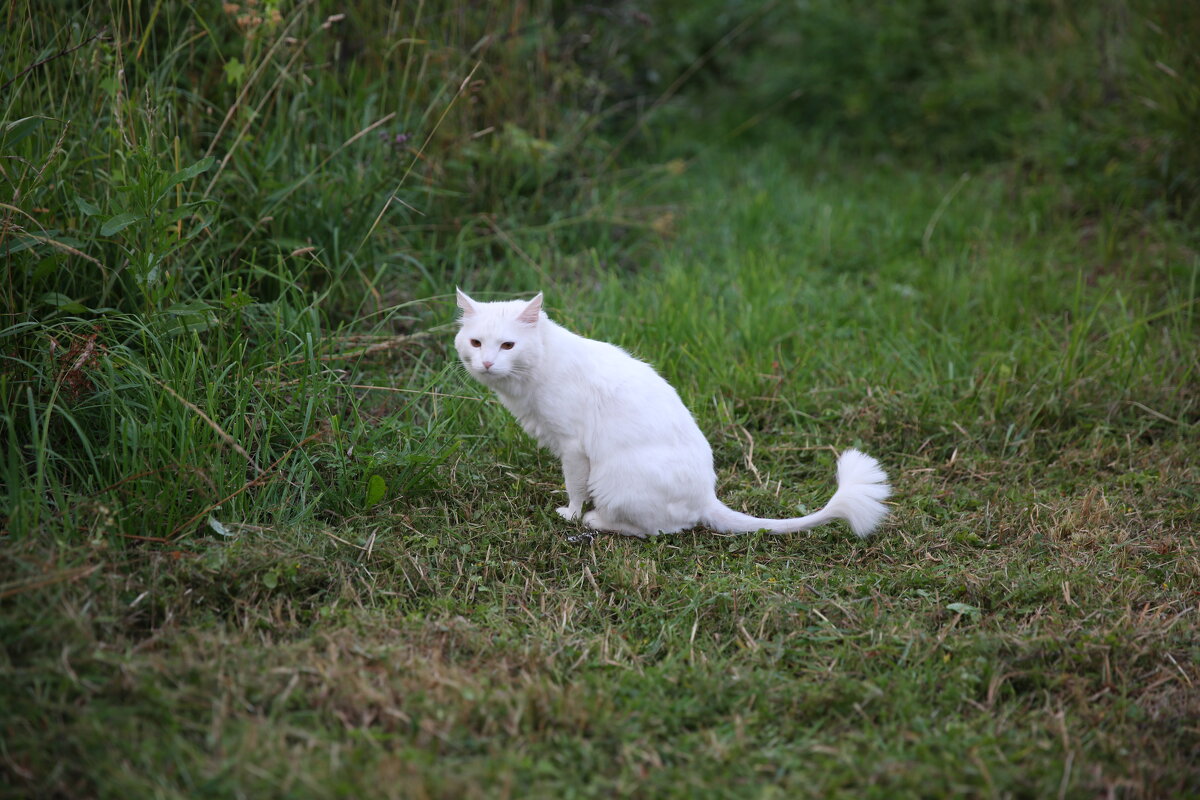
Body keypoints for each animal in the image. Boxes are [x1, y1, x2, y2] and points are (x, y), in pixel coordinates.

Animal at [456, 291, 892, 542]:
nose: (488, 363)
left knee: (657, 530)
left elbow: (575, 488)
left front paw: (571, 514)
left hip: (615, 480)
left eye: (508, 345)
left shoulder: (574, 448)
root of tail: (707, 497)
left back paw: (596, 521)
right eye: (476, 343)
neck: (539, 368)